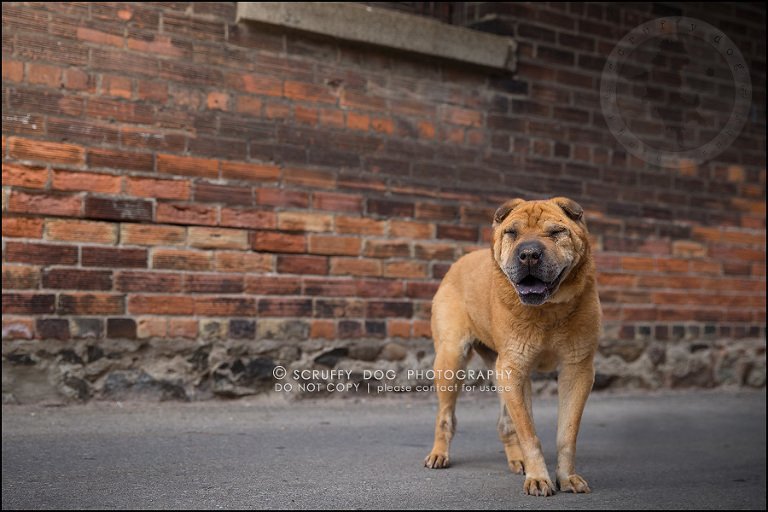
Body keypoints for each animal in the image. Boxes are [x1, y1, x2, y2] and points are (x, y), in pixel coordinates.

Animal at [426, 196, 600, 496]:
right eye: (512, 233)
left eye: (556, 232)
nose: (529, 253)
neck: (547, 310)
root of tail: (457, 263)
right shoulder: (514, 370)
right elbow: (529, 433)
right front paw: (539, 478)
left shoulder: (577, 370)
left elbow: (567, 433)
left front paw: (567, 477)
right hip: (451, 360)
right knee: (446, 417)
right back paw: (439, 454)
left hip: (500, 373)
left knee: (506, 423)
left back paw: (517, 460)